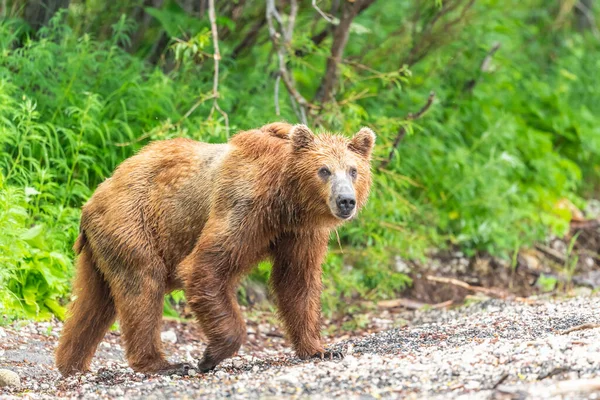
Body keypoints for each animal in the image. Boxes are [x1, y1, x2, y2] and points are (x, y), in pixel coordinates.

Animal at [56, 121, 376, 376]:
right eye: (324, 170)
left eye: (353, 170)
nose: (346, 201)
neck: (285, 201)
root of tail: (92, 201)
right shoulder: (244, 205)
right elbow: (205, 267)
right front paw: (209, 356)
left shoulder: (299, 233)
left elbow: (296, 281)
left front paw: (321, 349)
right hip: (133, 224)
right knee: (142, 287)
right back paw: (162, 364)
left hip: (102, 247)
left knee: (94, 303)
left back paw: (71, 363)